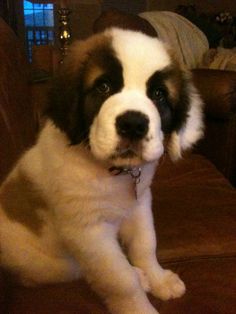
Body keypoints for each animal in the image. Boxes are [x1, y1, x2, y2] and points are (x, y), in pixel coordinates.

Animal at [0, 28, 203, 312]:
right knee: (80, 270)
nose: (133, 124)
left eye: (159, 94)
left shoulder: (139, 206)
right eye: (103, 87)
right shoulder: (89, 233)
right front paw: (139, 305)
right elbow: (119, 279)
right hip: (49, 264)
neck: (114, 173)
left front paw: (158, 278)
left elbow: (145, 245)